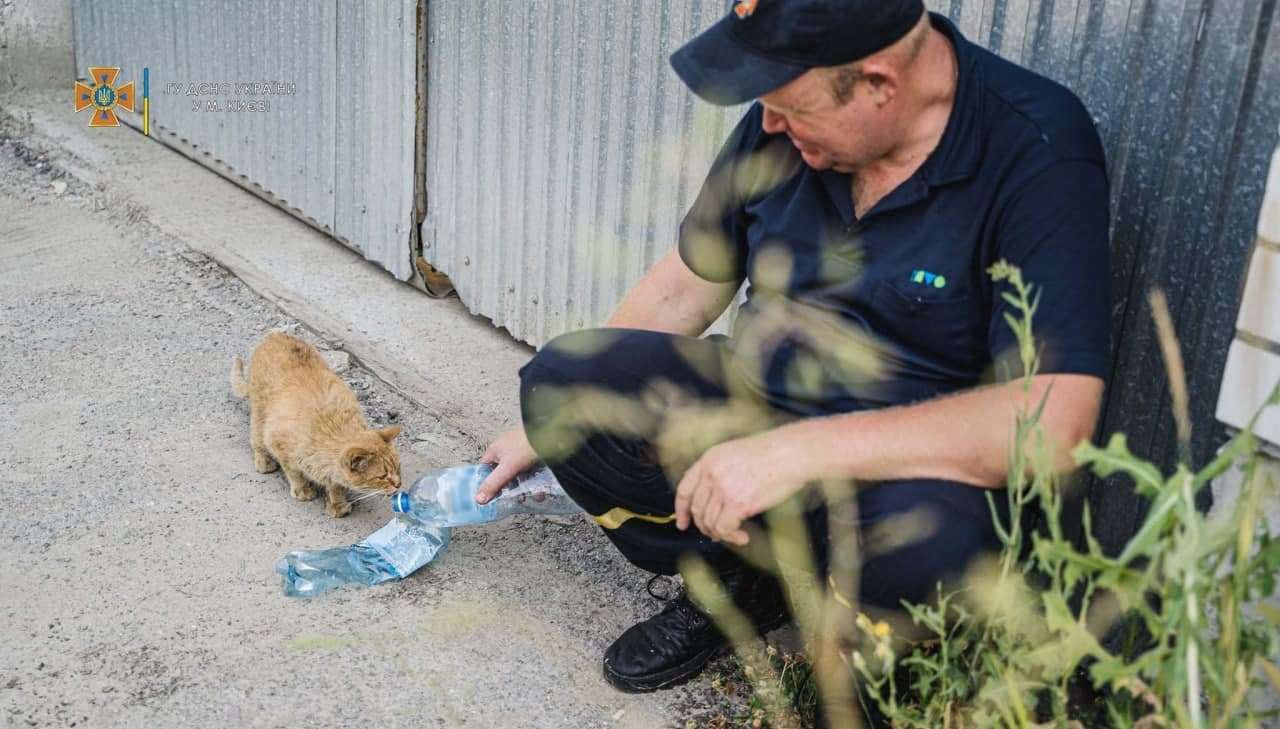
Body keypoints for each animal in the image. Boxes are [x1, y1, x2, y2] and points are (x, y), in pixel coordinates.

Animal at [230, 332, 399, 514]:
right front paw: (302, 489)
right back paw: (264, 460)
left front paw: (337, 503)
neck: (332, 425)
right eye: (382, 476)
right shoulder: (279, 443)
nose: (399, 484)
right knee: (256, 439)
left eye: (398, 468)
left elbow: (336, 485)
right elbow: (294, 472)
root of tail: (274, 334)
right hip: (260, 414)